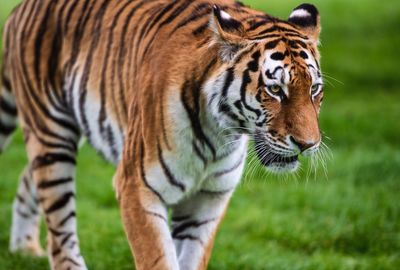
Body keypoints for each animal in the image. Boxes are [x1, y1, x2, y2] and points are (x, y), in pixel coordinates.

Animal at [0, 0, 324, 268]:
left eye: (314, 89)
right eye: (275, 89)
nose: (308, 144)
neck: (220, 135)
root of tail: (22, 7)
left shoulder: (208, 198)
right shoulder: (137, 188)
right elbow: (158, 259)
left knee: (29, 177)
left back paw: (24, 249)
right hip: (52, 133)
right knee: (59, 229)